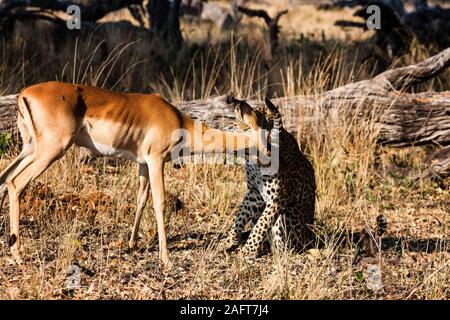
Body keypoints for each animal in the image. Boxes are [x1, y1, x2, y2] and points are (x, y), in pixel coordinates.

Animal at [220, 95, 314, 258]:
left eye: (236, 126)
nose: (224, 135)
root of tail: (310, 238)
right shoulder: (254, 193)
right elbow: (240, 217)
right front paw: (229, 240)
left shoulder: (277, 199)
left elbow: (261, 224)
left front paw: (248, 250)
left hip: (288, 215)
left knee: (284, 245)